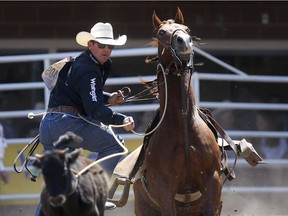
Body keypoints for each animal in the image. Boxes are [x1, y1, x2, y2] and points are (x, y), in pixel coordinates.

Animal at [133, 7, 223, 215]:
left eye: (187, 29)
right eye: (161, 33)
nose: (184, 42)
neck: (184, 125)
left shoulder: (213, 180)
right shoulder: (164, 187)